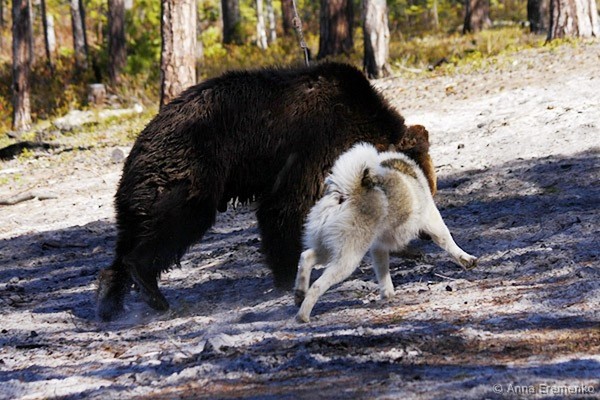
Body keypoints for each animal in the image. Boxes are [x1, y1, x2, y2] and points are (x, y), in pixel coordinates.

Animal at [96, 62, 412, 321]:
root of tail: (139, 147)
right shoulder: (312, 146)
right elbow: (286, 209)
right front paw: (287, 274)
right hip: (189, 174)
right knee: (175, 224)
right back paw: (151, 290)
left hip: (140, 198)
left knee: (128, 240)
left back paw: (110, 301)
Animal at [294, 140, 477, 323]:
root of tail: (345, 193)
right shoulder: (432, 220)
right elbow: (447, 241)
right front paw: (466, 259)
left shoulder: (378, 247)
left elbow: (383, 272)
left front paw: (387, 294)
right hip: (348, 258)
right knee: (317, 285)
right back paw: (303, 315)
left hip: (330, 248)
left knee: (306, 257)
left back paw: (299, 294)